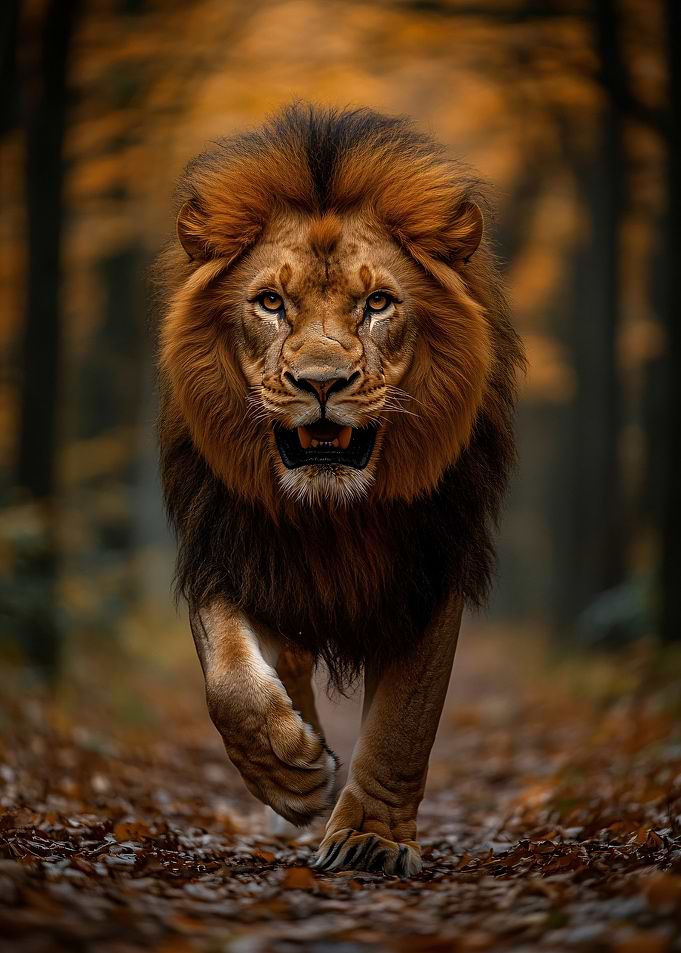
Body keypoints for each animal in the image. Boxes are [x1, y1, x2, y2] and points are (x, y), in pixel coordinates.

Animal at [156, 104, 524, 877]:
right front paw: (290, 770)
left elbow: (404, 721)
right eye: (270, 302)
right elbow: (227, 677)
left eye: (378, 303)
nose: (320, 382)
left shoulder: (429, 571)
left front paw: (371, 839)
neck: (329, 516)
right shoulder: (223, 544)